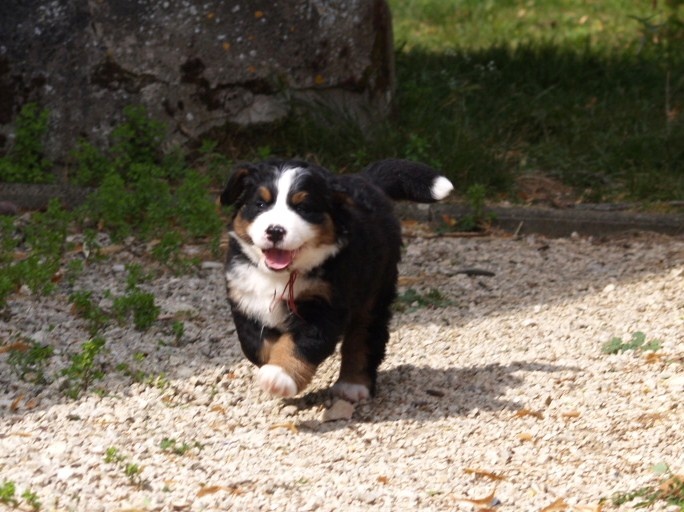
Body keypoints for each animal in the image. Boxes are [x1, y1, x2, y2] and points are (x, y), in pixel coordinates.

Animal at [220, 158, 453, 402]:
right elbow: (257, 345)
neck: (281, 276)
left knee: (364, 337)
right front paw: (272, 365)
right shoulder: (247, 300)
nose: (275, 230)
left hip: (375, 291)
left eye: (303, 208)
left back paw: (353, 384)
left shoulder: (325, 306)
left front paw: (279, 375)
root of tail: (366, 179)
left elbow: (298, 343)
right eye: (260, 204)